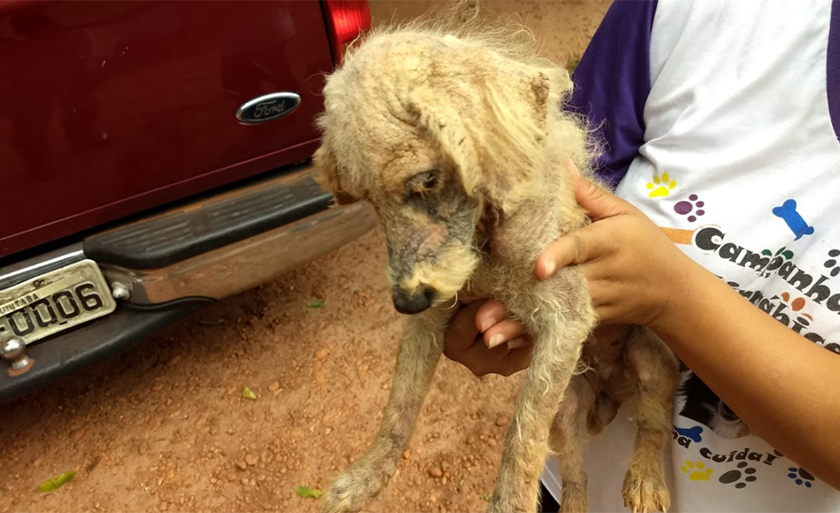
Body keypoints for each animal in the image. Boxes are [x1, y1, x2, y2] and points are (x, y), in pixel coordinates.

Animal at [312, 9, 680, 512]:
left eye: (426, 181)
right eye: (368, 200)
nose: (405, 303)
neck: (486, 246)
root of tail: (610, 392)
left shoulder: (566, 317)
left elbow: (521, 438)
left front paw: (509, 503)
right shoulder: (433, 316)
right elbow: (399, 405)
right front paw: (365, 478)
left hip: (651, 363)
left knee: (654, 424)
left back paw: (646, 480)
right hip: (567, 404)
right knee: (575, 474)